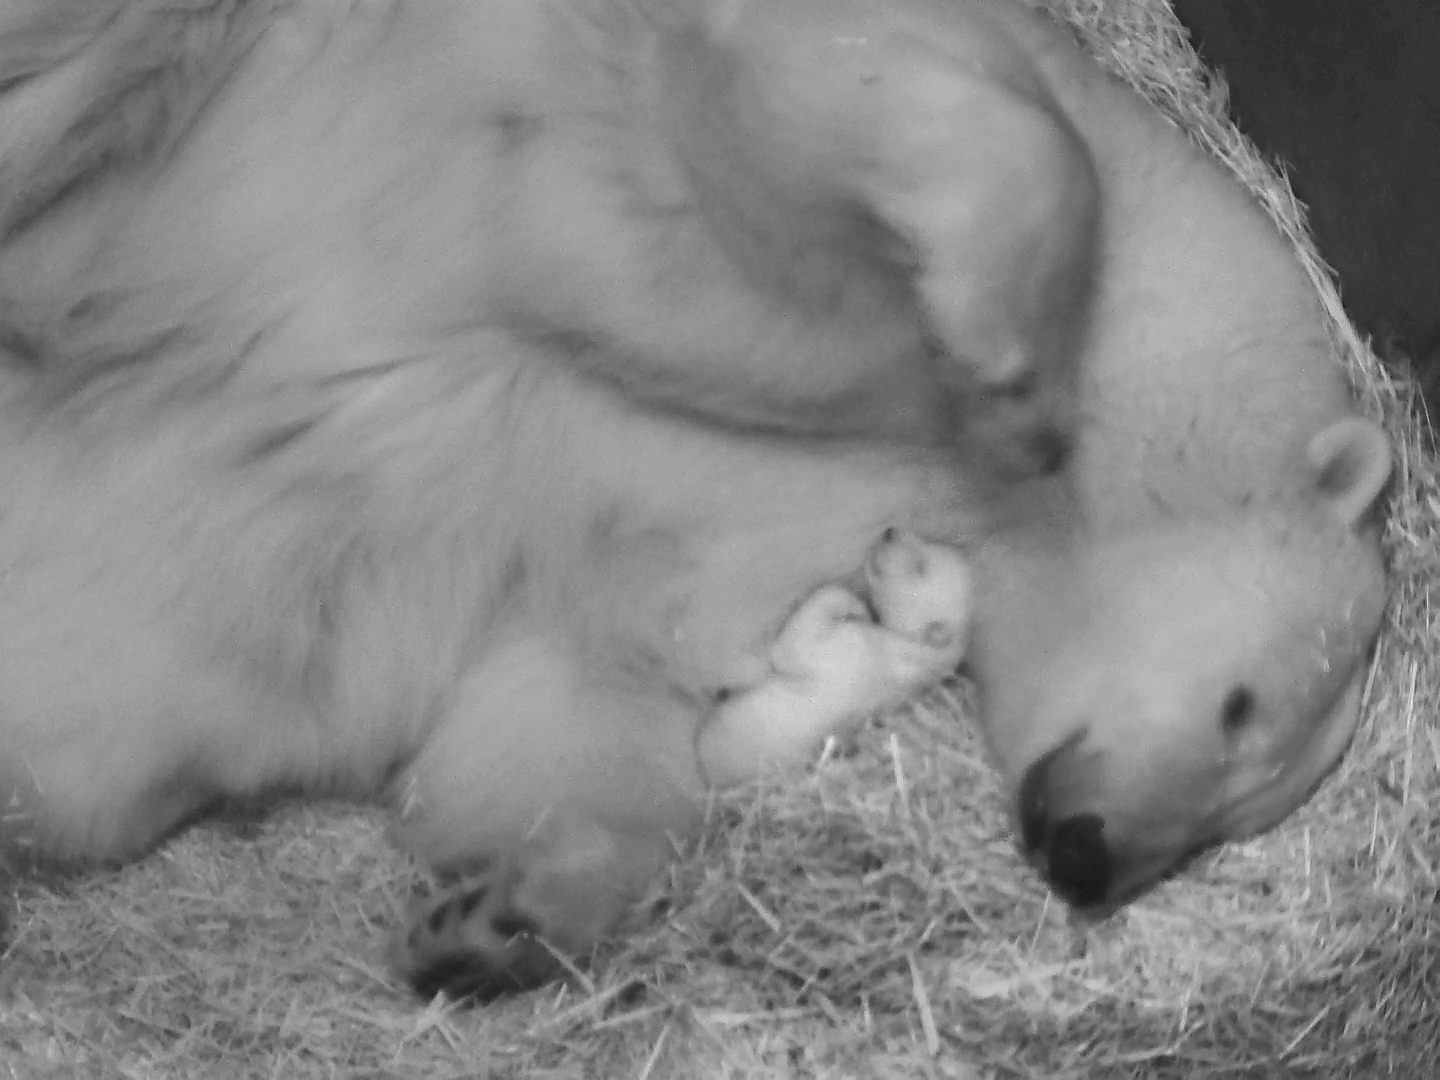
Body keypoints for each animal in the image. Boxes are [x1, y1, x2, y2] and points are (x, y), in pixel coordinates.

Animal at [0, 0, 1393, 1002]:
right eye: (1243, 706)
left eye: (1226, 825)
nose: (1092, 851)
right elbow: (849, 124)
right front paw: (1012, 377)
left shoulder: (706, 540)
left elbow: (563, 700)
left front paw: (500, 916)